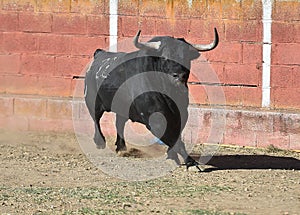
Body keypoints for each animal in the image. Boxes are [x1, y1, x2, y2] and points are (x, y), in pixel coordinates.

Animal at [84, 28, 218, 170]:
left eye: (186, 57)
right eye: (164, 57)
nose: (179, 76)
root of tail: (99, 54)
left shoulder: (181, 114)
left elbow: (176, 136)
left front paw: (172, 156)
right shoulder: (155, 120)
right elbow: (173, 138)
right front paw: (190, 163)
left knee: (119, 123)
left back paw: (121, 147)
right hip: (92, 101)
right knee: (96, 120)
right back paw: (100, 142)